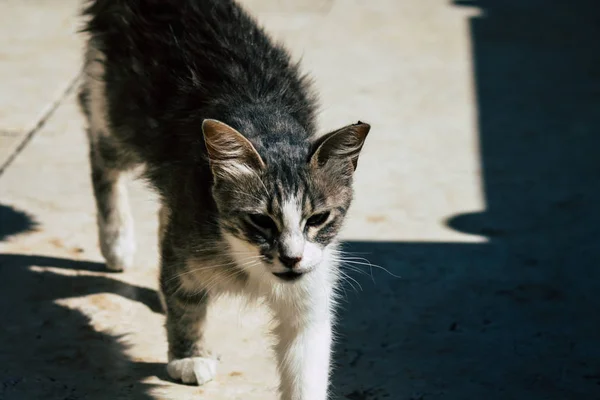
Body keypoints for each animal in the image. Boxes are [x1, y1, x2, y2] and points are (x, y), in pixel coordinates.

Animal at [79, 1, 370, 398]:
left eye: (318, 219)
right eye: (260, 220)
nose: (291, 258)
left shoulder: (311, 288)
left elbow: (306, 364)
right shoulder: (189, 239)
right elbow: (185, 300)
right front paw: (187, 355)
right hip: (119, 116)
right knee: (99, 151)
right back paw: (116, 241)